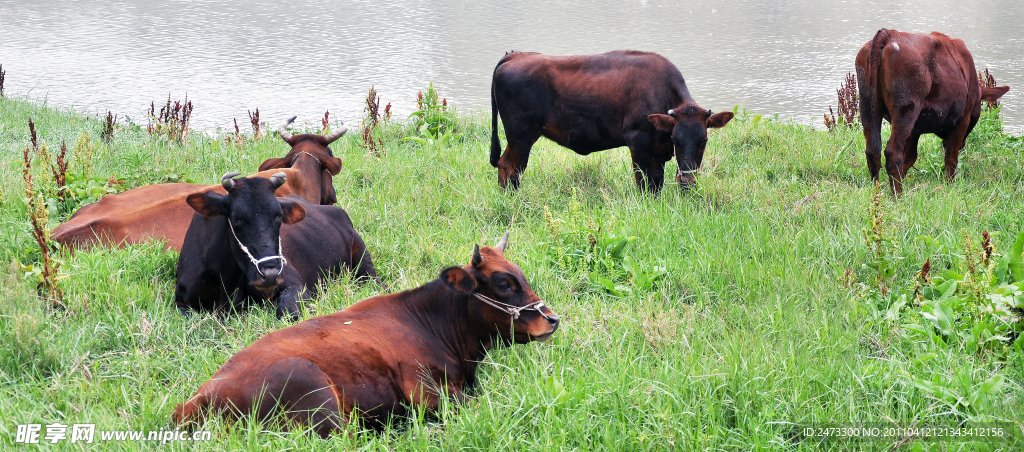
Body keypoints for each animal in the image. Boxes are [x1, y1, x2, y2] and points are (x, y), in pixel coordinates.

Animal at [174, 171, 378, 319]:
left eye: (279, 215)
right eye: (236, 218)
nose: (270, 274)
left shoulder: (296, 287)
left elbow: (287, 313)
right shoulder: (180, 302)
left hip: (363, 261)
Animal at [856, 29, 1007, 194]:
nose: (963, 144)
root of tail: (889, 33)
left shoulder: (915, 129)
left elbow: (910, 157)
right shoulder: (962, 119)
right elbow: (951, 157)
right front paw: (949, 185)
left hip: (867, 104)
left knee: (872, 151)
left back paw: (876, 192)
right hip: (905, 110)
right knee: (892, 153)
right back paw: (898, 195)